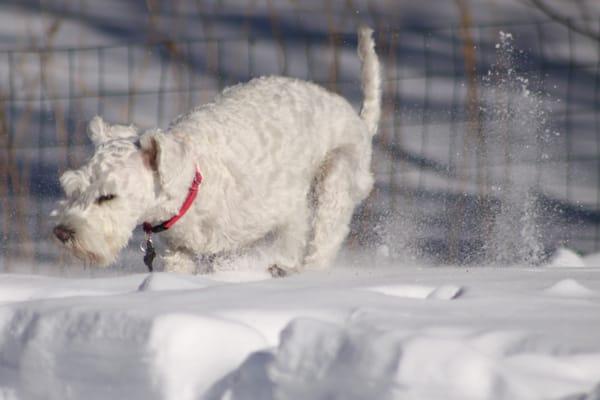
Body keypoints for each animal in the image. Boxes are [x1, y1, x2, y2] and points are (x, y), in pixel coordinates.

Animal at [51, 25, 380, 276]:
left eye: (108, 196)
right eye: (73, 188)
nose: (62, 233)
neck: (193, 181)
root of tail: (359, 122)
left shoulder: (288, 214)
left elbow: (285, 243)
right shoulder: (180, 251)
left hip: (334, 178)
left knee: (323, 243)